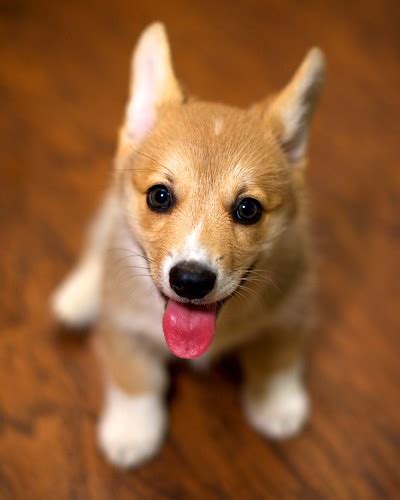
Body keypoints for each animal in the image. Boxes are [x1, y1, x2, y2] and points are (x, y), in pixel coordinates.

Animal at [51, 22, 324, 468]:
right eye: (159, 196)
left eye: (248, 209)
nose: (191, 281)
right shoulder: (122, 326)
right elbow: (134, 377)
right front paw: (131, 430)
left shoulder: (293, 307)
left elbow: (278, 357)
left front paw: (276, 404)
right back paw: (78, 297)